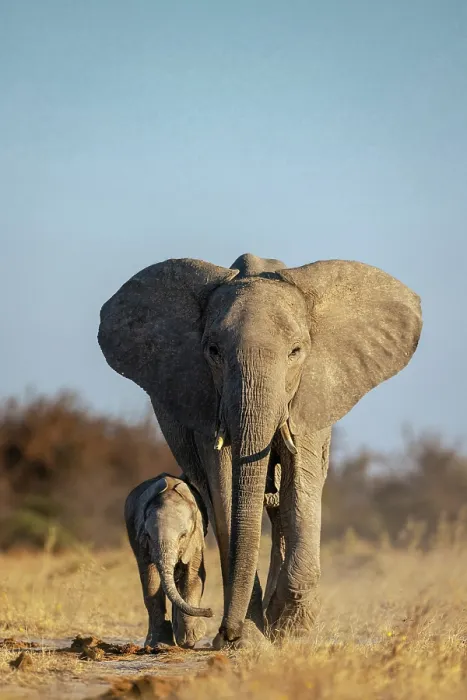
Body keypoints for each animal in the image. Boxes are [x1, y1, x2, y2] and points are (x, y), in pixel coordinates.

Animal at [124, 473, 212, 648]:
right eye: (148, 536)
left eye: (183, 536)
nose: (210, 611)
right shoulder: (141, 540)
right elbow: (151, 580)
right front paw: (160, 645)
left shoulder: (195, 538)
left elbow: (193, 577)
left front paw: (189, 640)